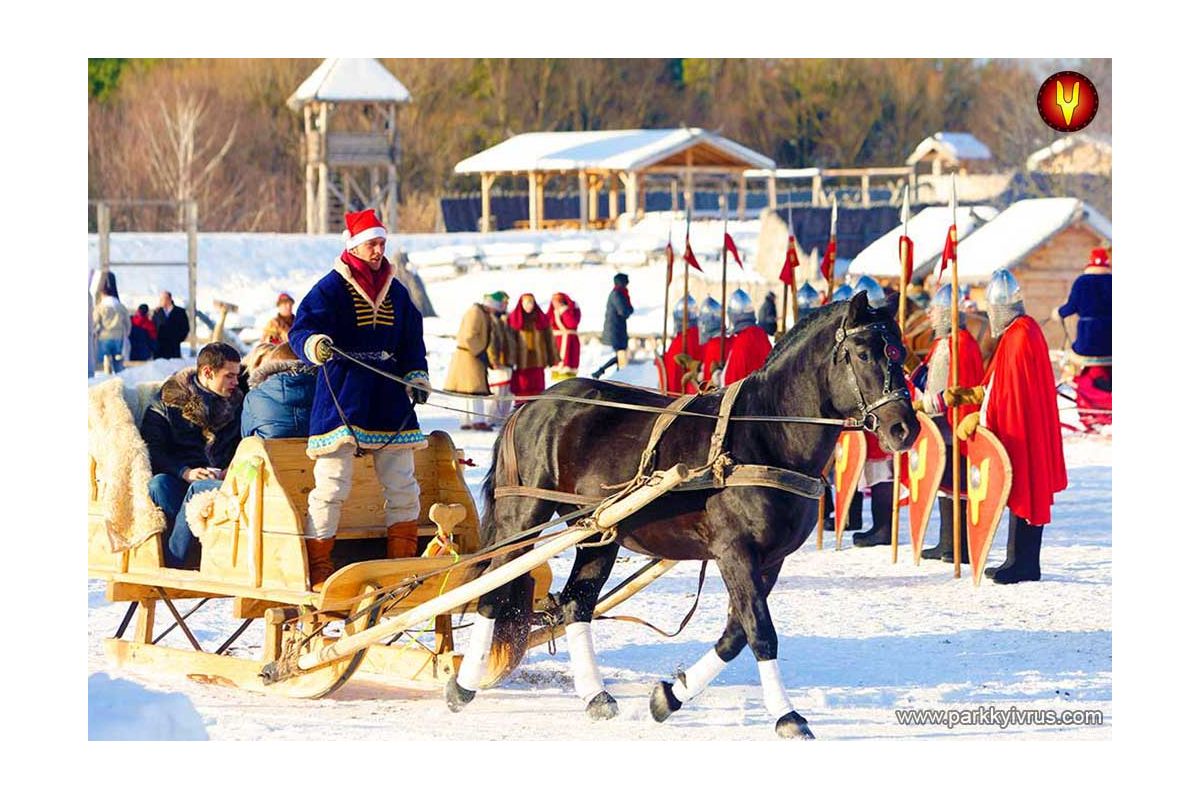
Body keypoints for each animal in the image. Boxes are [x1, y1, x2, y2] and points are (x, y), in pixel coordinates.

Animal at [446, 292, 912, 738]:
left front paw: (669, 697)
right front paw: (787, 716)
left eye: (901, 351)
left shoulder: (770, 559)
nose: (904, 429)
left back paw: (596, 695)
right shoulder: (735, 552)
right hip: (524, 517)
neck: (767, 435)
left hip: (598, 532)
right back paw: (463, 685)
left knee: (576, 604)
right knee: (493, 591)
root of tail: (529, 407)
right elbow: (761, 631)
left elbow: (736, 634)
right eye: (864, 353)